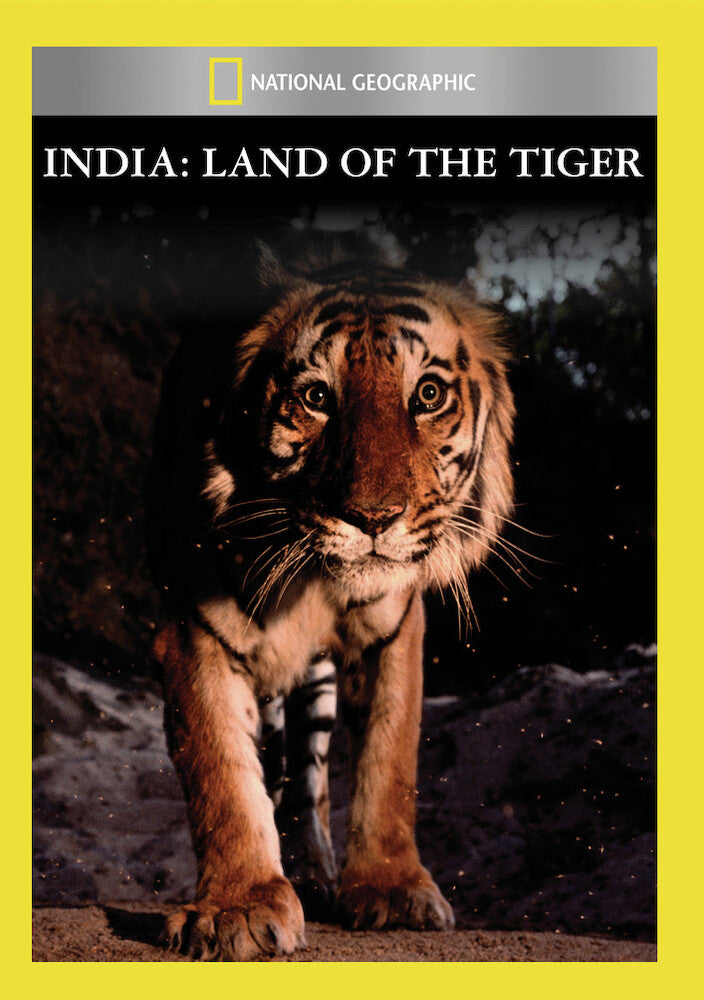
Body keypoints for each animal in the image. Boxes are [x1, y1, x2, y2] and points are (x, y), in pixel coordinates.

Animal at [148, 232, 515, 961]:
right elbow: (223, 771)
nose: (373, 518)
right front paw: (236, 910)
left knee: (307, 784)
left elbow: (389, 761)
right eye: (317, 396)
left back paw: (316, 874)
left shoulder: (393, 631)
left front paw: (393, 890)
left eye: (428, 394)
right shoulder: (195, 629)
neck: (313, 586)